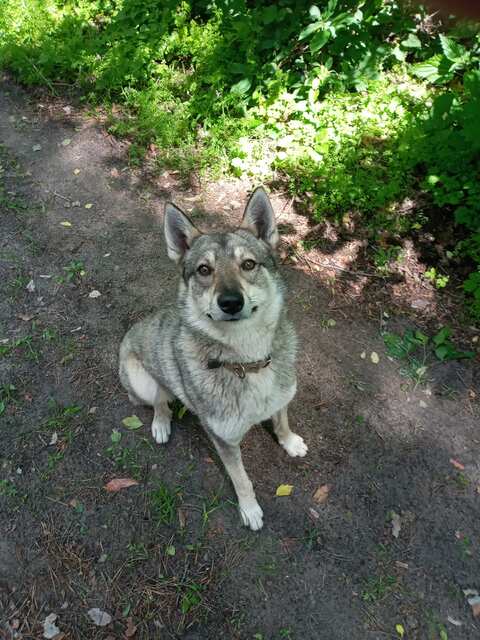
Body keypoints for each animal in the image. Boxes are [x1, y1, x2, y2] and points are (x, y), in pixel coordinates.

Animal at [120, 188, 308, 532]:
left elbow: (282, 420)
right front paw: (250, 510)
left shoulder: (282, 398)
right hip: (143, 380)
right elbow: (241, 479)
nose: (231, 302)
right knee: (159, 402)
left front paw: (289, 442)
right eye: (204, 270)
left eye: (248, 264)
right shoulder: (225, 440)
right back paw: (161, 424)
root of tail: (131, 330)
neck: (248, 362)